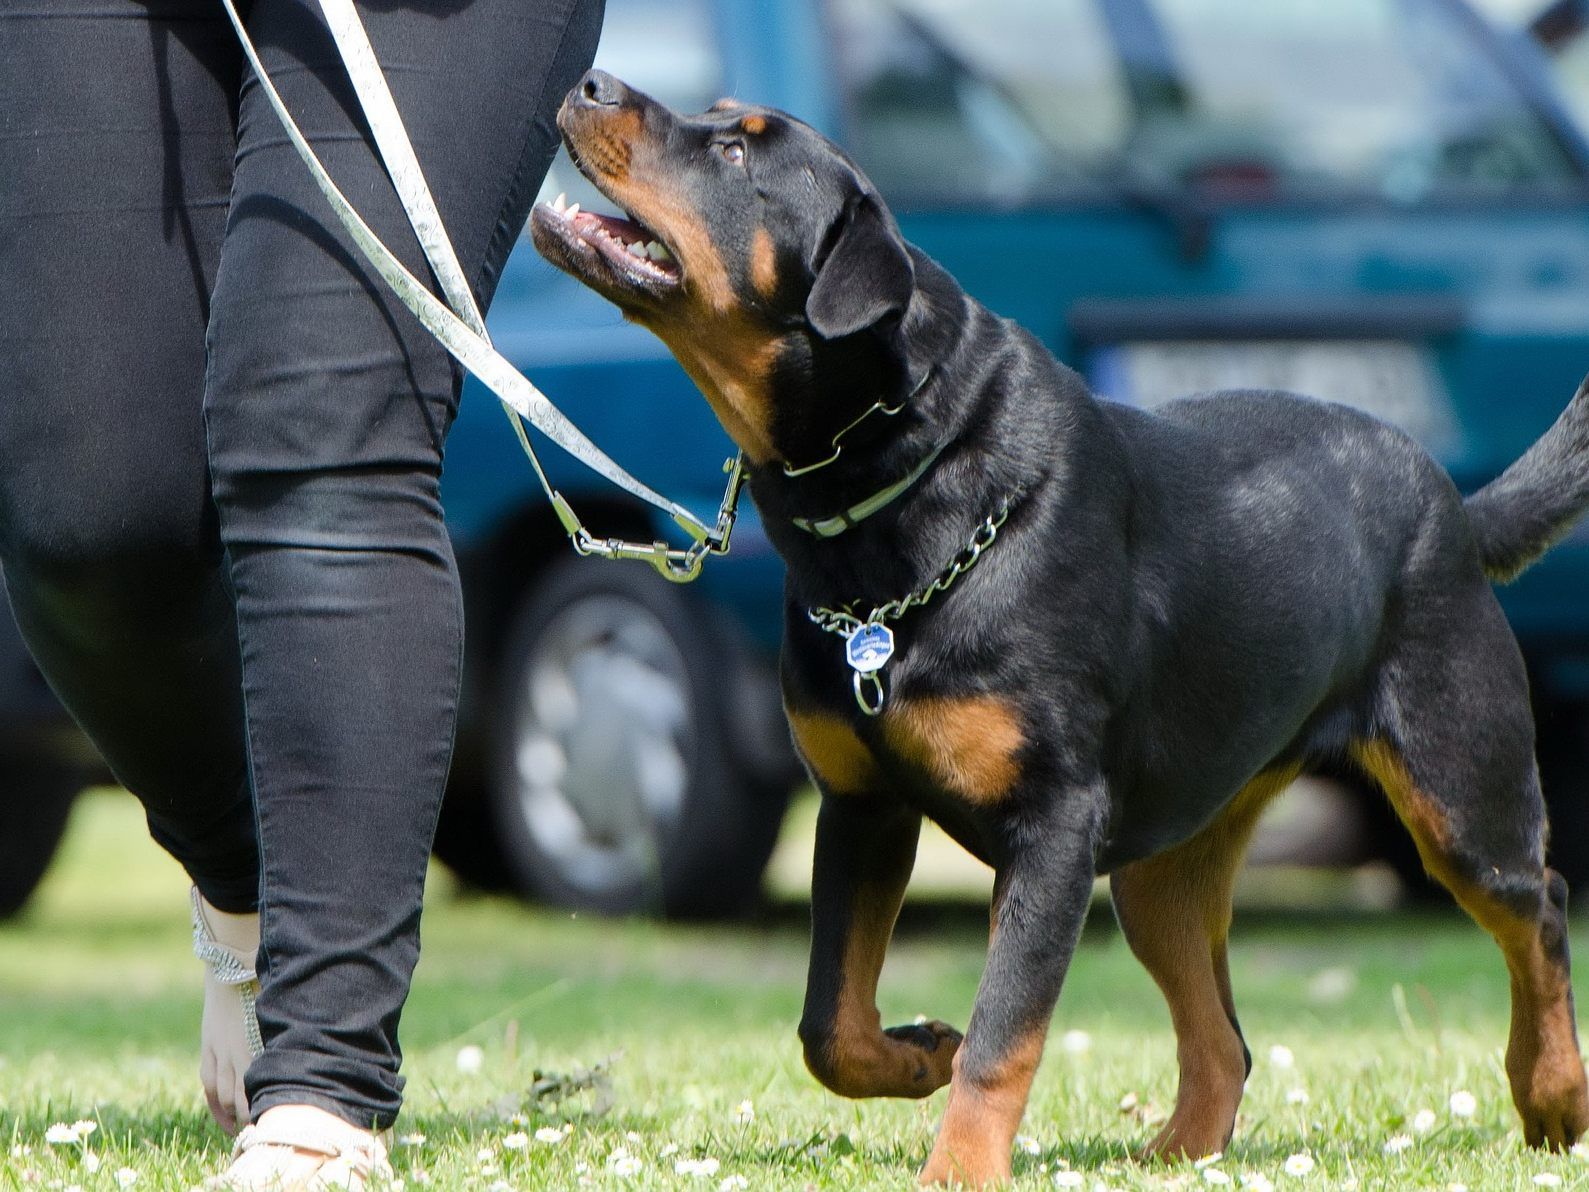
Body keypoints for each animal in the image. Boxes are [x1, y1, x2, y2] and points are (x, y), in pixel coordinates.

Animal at [533, 72, 1589, 1188]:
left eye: (736, 152)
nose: (595, 81)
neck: (894, 494)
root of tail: (1456, 507)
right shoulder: (861, 805)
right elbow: (829, 1025)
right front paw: (918, 1054)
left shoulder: (1051, 827)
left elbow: (1005, 1034)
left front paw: (957, 1166)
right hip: (1163, 864)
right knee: (1222, 1035)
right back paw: (1173, 1153)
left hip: (1456, 781)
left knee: (1537, 906)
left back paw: (1552, 1095)